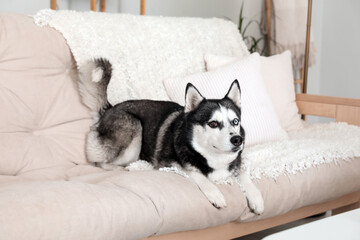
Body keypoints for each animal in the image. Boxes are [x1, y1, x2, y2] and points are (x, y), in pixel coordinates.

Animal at [78, 59, 264, 213]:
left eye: (235, 121)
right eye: (213, 124)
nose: (237, 140)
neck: (212, 156)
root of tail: (110, 108)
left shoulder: (237, 163)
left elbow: (244, 173)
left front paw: (256, 197)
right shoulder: (169, 163)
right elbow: (195, 173)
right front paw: (215, 194)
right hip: (134, 131)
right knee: (99, 160)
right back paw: (124, 168)